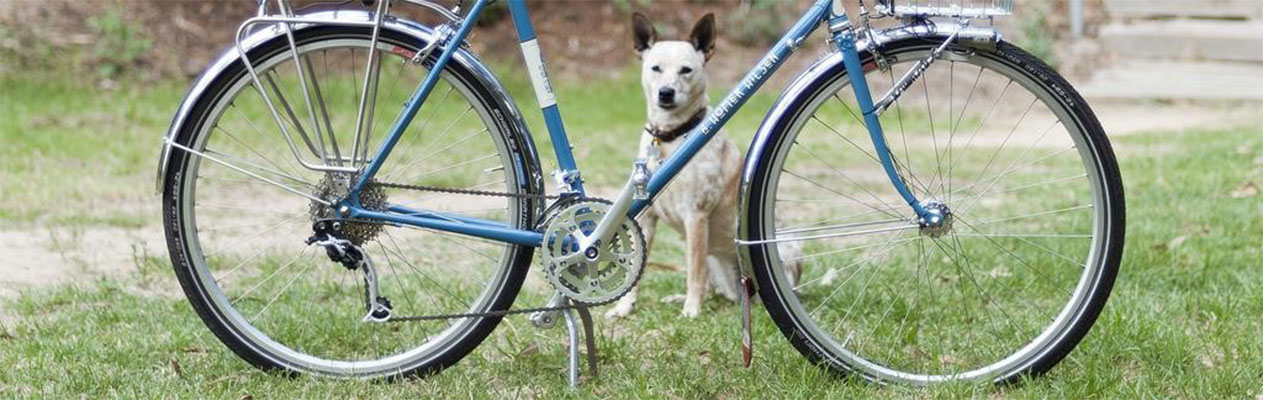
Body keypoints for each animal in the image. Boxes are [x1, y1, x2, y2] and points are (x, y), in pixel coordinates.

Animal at [608, 13, 803, 317]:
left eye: (686, 70)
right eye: (655, 68)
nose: (666, 93)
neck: (671, 138)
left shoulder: (696, 214)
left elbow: (693, 272)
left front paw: (691, 309)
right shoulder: (648, 218)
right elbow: (636, 272)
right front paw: (625, 306)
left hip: (782, 250)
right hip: (715, 258)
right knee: (716, 286)